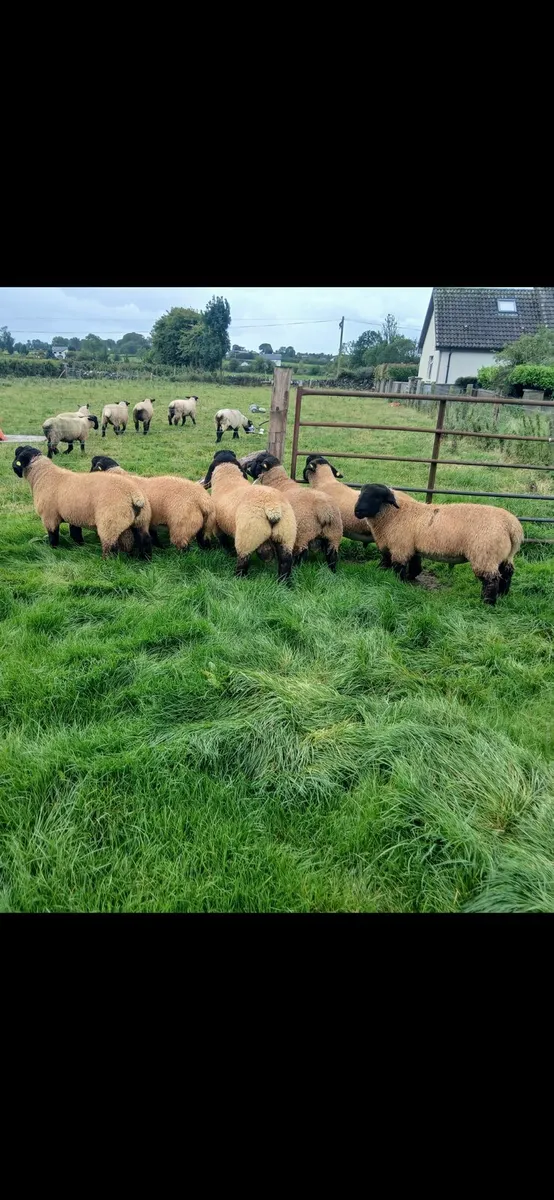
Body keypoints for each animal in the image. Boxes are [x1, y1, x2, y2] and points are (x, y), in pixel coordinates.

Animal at [12, 447, 153, 559]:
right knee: (145, 540)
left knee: (110, 546)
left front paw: (53, 550)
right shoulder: (73, 516)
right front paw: (79, 547)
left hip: (110, 523)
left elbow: (53, 536)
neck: (43, 475)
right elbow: (76, 534)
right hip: (141, 521)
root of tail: (134, 494)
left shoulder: (50, 517)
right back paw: (145, 560)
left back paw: (107, 562)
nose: (14, 468)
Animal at [203, 449, 297, 582]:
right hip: (285, 534)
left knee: (243, 560)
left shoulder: (218, 526)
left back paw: (238, 578)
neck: (228, 476)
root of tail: (272, 506)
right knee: (285, 562)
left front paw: (229, 553)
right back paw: (283, 582)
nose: (247, 465)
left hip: (247, 535)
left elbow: (224, 541)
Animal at [354, 484, 524, 604]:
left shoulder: (400, 546)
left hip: (484, 554)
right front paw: (410, 577)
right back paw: (503, 594)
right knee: (506, 573)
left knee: (491, 580)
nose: (357, 511)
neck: (394, 514)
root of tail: (512, 526)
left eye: (376, 497)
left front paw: (397, 582)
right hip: (504, 555)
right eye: (361, 494)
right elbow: (414, 564)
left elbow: (397, 567)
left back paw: (487, 602)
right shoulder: (411, 546)